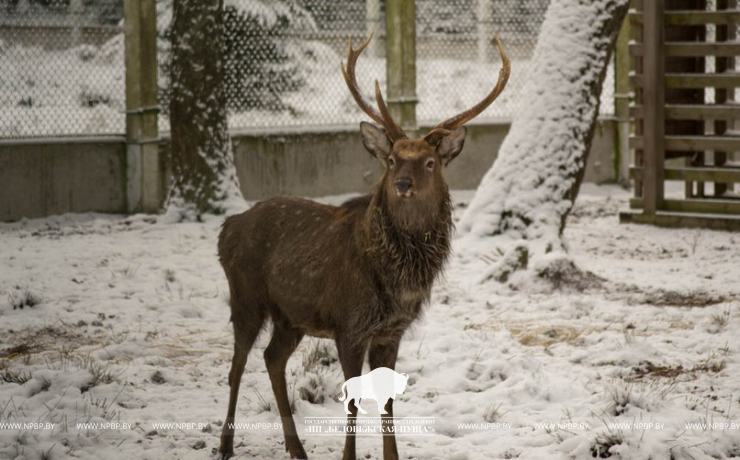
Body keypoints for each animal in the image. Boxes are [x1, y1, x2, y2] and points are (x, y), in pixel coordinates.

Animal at [217, 33, 512, 460]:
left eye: (429, 162)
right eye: (391, 160)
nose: (402, 184)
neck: (395, 279)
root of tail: (226, 228)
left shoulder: (391, 331)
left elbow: (387, 401)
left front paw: (392, 457)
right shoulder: (349, 325)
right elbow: (353, 401)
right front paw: (348, 456)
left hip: (291, 315)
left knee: (272, 358)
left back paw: (297, 448)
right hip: (246, 296)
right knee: (237, 364)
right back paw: (225, 445)